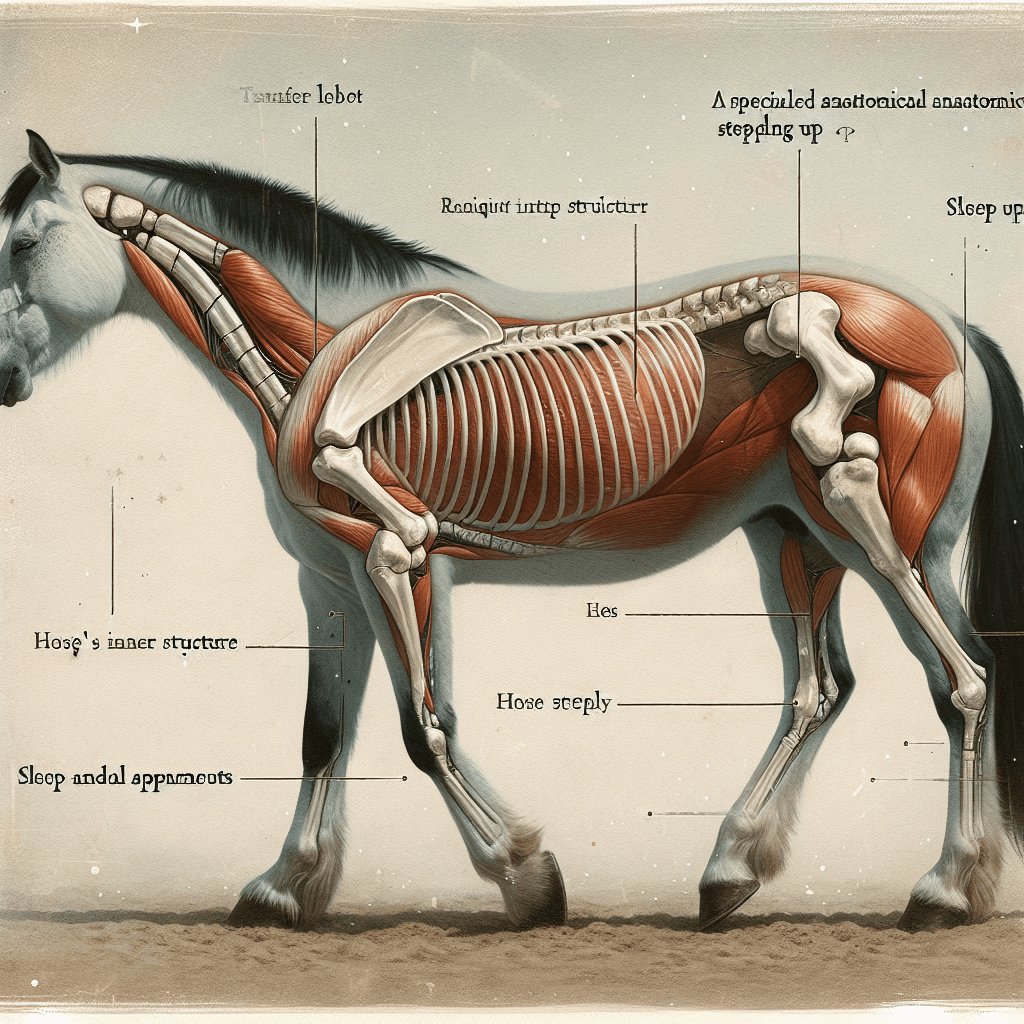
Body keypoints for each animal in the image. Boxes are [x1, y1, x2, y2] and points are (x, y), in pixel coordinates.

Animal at [2, 130, 1022, 933]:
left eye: (23, 241)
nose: (5, 380)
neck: (315, 339)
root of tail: (955, 327)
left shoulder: (400, 556)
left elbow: (424, 725)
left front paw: (525, 877)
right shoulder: (324, 579)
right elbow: (323, 733)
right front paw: (285, 888)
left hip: (891, 540)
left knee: (964, 676)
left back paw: (946, 889)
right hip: (791, 539)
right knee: (822, 686)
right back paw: (732, 870)